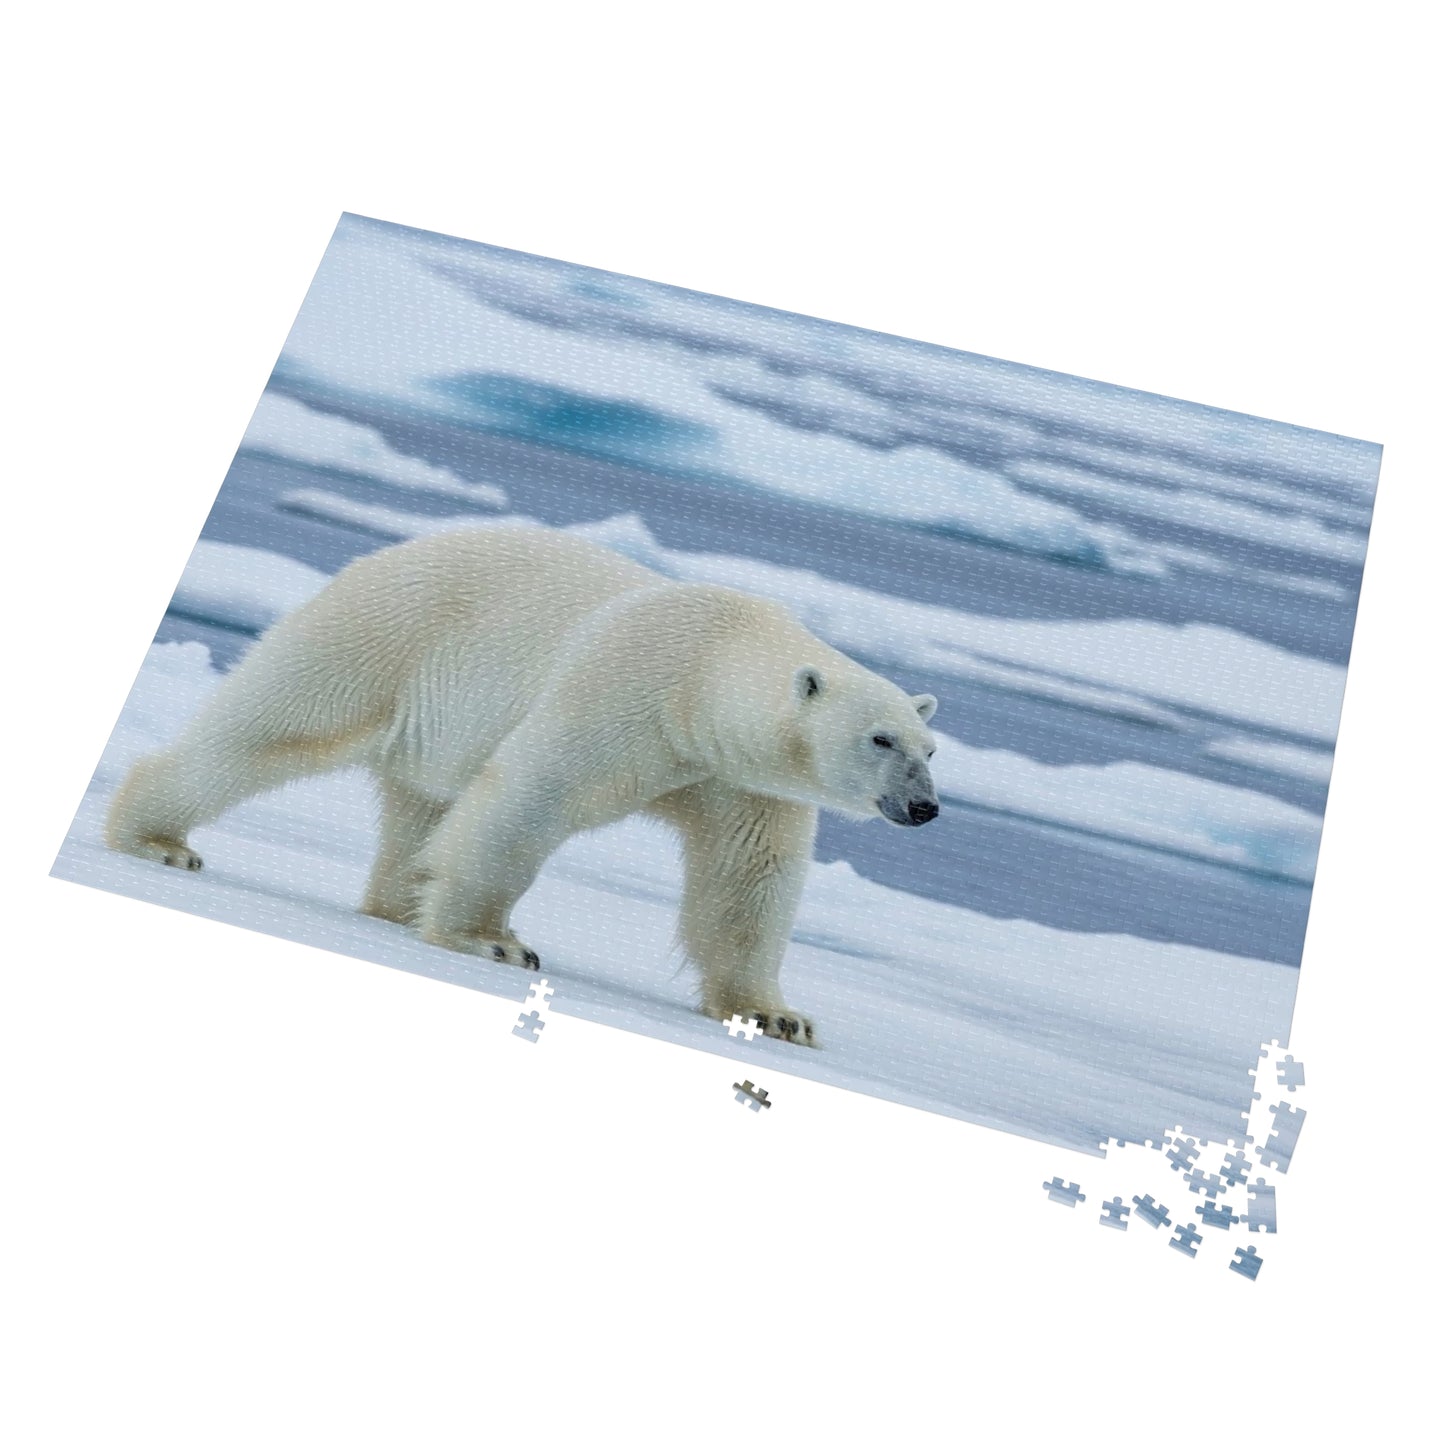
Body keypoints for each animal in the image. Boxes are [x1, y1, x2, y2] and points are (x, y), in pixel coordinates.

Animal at [106, 527, 940, 1044]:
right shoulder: (629, 689)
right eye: (880, 738)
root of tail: (392, 550)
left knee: (424, 808)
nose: (925, 806)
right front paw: (492, 940)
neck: (709, 670)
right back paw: (156, 837)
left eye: (930, 746)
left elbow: (748, 881)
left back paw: (397, 903)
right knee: (267, 729)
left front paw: (777, 1017)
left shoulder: (741, 777)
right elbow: (532, 796)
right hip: (381, 637)